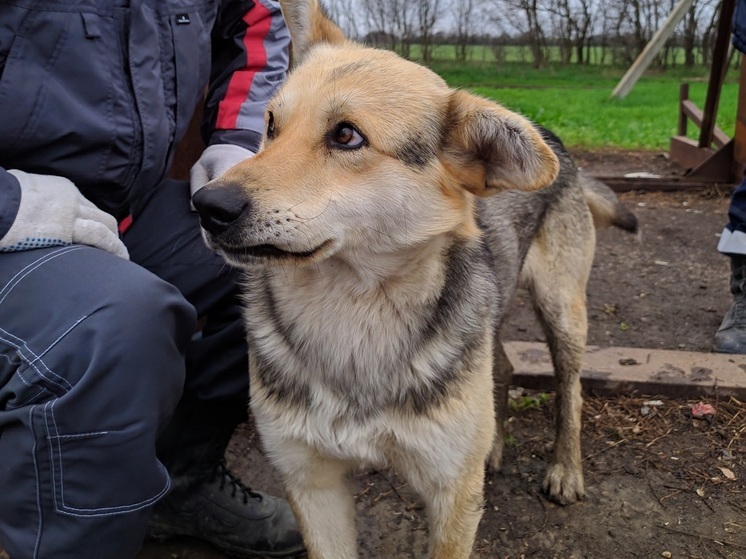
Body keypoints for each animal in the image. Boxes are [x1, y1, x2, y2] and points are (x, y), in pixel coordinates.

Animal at [190, 2, 632, 556]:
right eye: (270, 125)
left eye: (346, 135)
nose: (207, 205)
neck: (352, 315)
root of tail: (550, 134)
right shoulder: (311, 482)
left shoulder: (451, 494)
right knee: (503, 366)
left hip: (562, 310)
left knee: (570, 388)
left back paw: (565, 470)